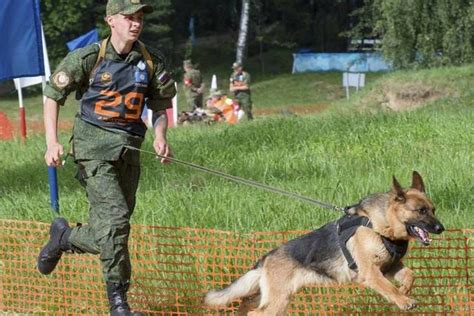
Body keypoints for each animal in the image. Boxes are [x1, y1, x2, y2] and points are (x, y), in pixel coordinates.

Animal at [204, 172, 444, 314]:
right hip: (278, 301)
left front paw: (404, 290)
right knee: (255, 313)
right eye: (420, 211)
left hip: (268, 297)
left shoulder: (390, 266)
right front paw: (402, 300)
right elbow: (387, 287)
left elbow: (410, 275)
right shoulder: (371, 273)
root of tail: (267, 258)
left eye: (433, 209)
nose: (441, 228)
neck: (378, 224)